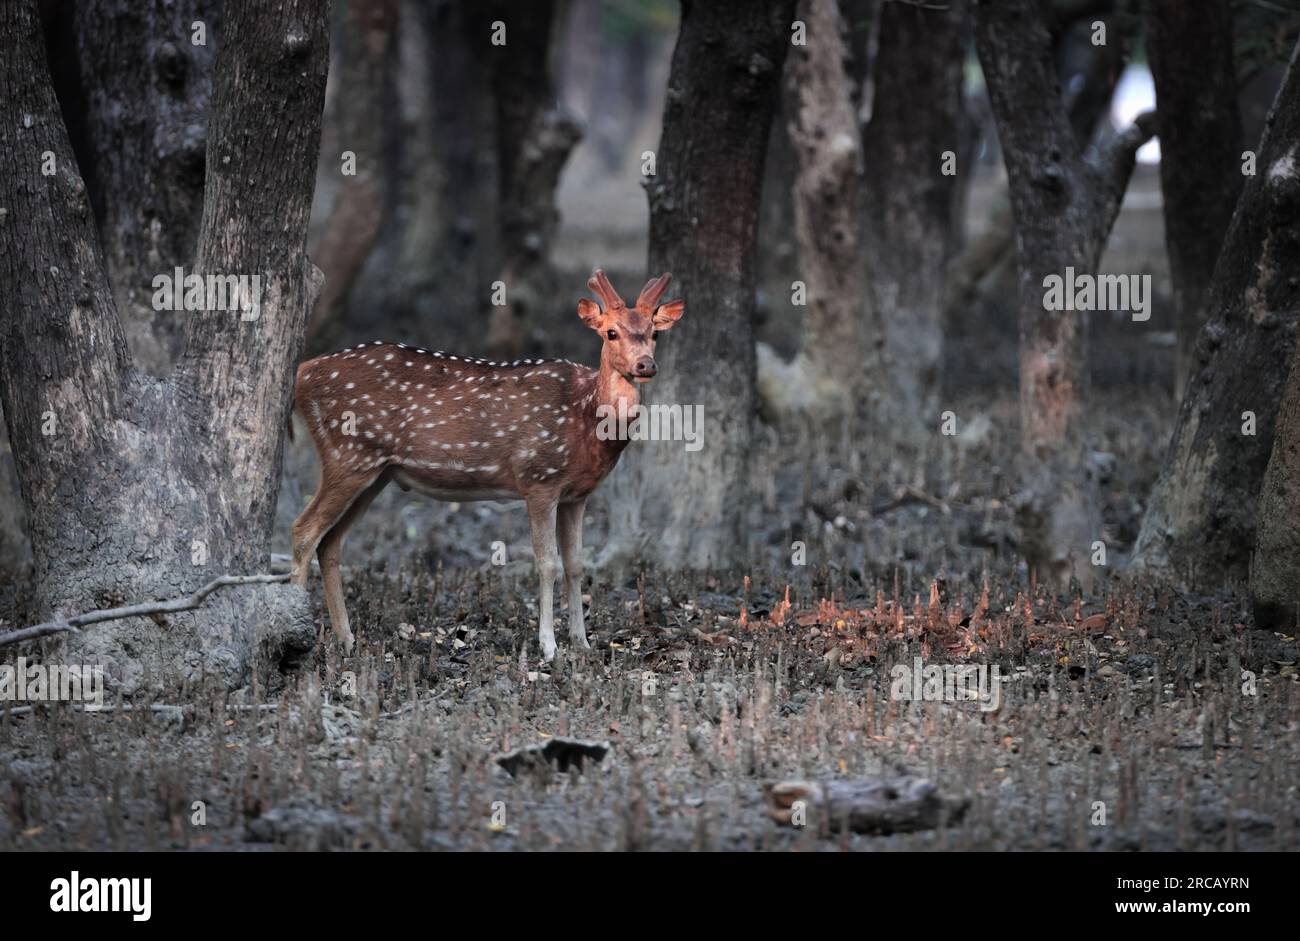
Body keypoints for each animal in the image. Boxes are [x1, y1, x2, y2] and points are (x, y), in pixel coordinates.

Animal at [289, 267, 686, 657]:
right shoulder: (539, 477)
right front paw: (549, 646)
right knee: (303, 531)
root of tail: (303, 372)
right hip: (347, 454)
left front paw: (582, 642)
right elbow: (547, 563)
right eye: (611, 332)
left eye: (654, 332)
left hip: (376, 472)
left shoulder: (577, 495)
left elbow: (576, 564)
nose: (645, 364)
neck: (585, 416)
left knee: (330, 542)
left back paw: (346, 639)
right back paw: (299, 638)